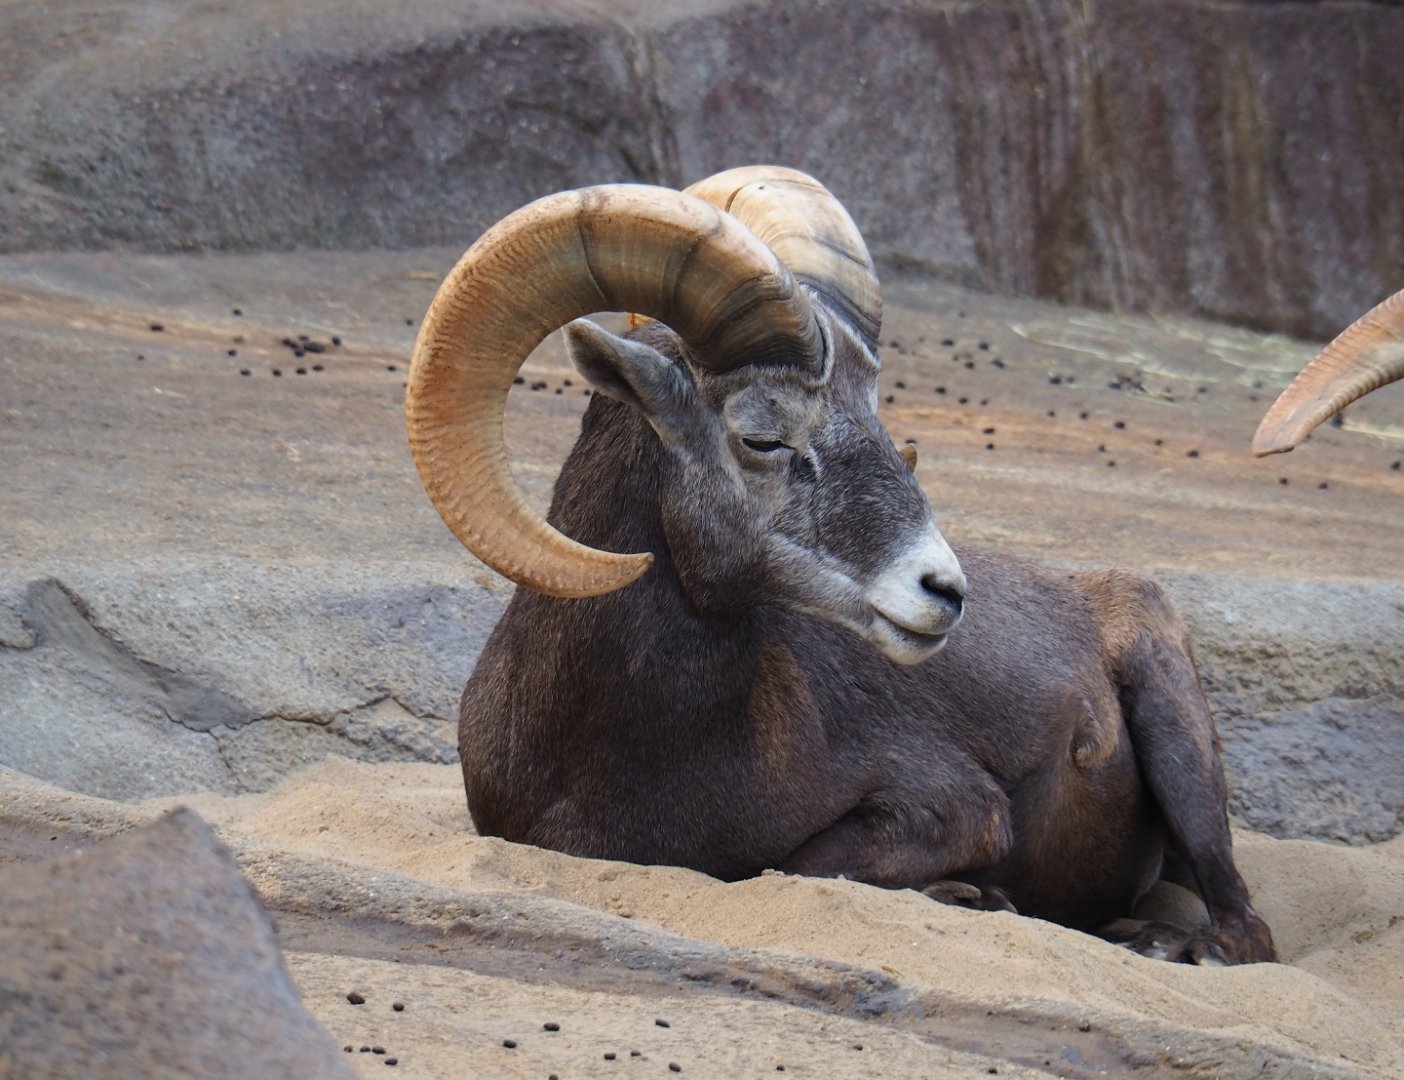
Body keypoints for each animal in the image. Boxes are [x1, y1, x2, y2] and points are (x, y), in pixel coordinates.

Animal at [406, 166, 1276, 965]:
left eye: (878, 419)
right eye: (762, 436)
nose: (943, 591)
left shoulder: (951, 805)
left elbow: (796, 865)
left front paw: (974, 897)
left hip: (1177, 738)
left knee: (1247, 931)